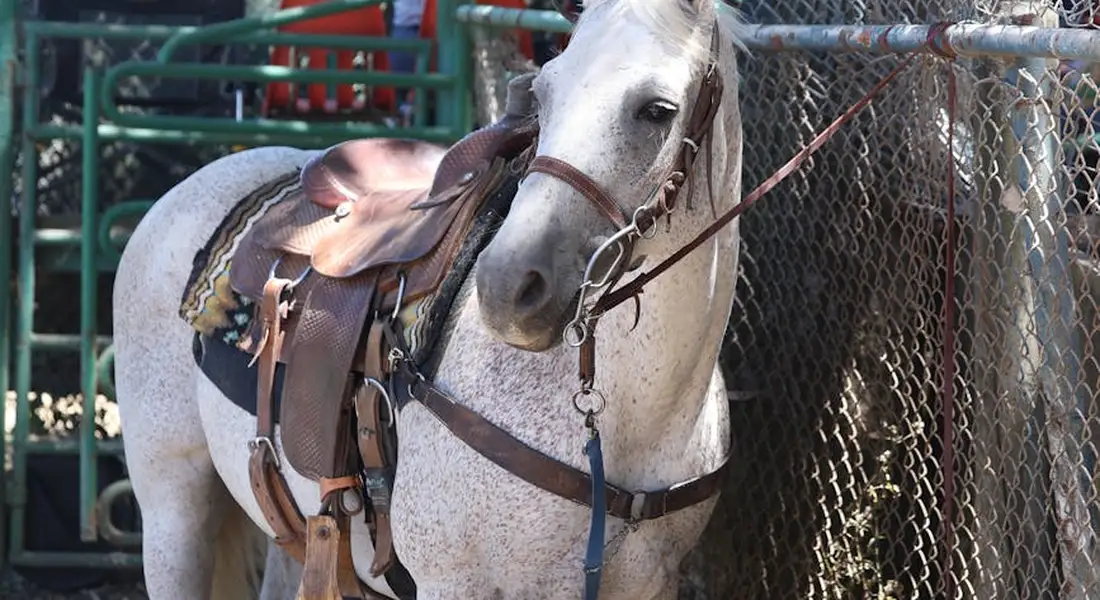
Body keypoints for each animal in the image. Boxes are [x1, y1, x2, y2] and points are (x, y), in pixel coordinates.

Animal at [111, 0, 745, 597]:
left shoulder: (647, 582)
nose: (506, 286)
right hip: (172, 513)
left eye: (657, 110)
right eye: (543, 93)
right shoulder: (452, 582)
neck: (629, 423)